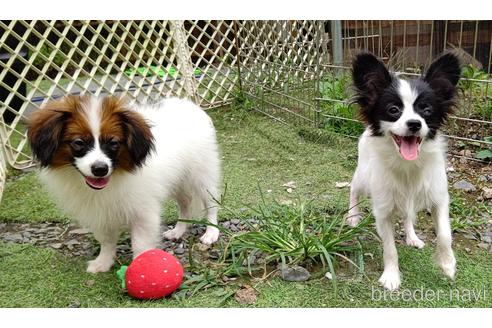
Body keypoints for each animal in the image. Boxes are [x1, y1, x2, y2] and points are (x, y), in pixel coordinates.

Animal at [26, 94, 219, 272]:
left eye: (113, 142)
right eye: (78, 142)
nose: (100, 169)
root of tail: (188, 104)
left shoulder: (144, 213)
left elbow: (140, 244)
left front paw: (141, 268)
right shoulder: (99, 213)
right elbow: (106, 241)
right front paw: (103, 262)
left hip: (202, 176)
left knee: (211, 204)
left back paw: (211, 232)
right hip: (179, 181)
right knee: (185, 203)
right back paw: (179, 230)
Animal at [348, 52, 460, 290]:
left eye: (426, 110)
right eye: (393, 110)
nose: (414, 124)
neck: (407, 164)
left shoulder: (439, 198)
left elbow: (445, 234)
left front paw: (447, 264)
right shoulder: (382, 211)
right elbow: (390, 249)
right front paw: (391, 276)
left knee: (408, 215)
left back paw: (412, 237)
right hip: (363, 176)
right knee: (353, 189)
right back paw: (352, 216)